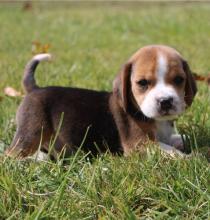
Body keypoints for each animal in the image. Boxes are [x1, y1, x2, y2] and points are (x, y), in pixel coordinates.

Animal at [5, 45, 198, 158]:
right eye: (142, 83)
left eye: (179, 80)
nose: (165, 101)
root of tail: (34, 88)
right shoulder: (139, 144)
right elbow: (172, 152)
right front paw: (191, 159)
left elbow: (178, 139)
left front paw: (183, 141)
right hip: (31, 132)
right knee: (11, 154)